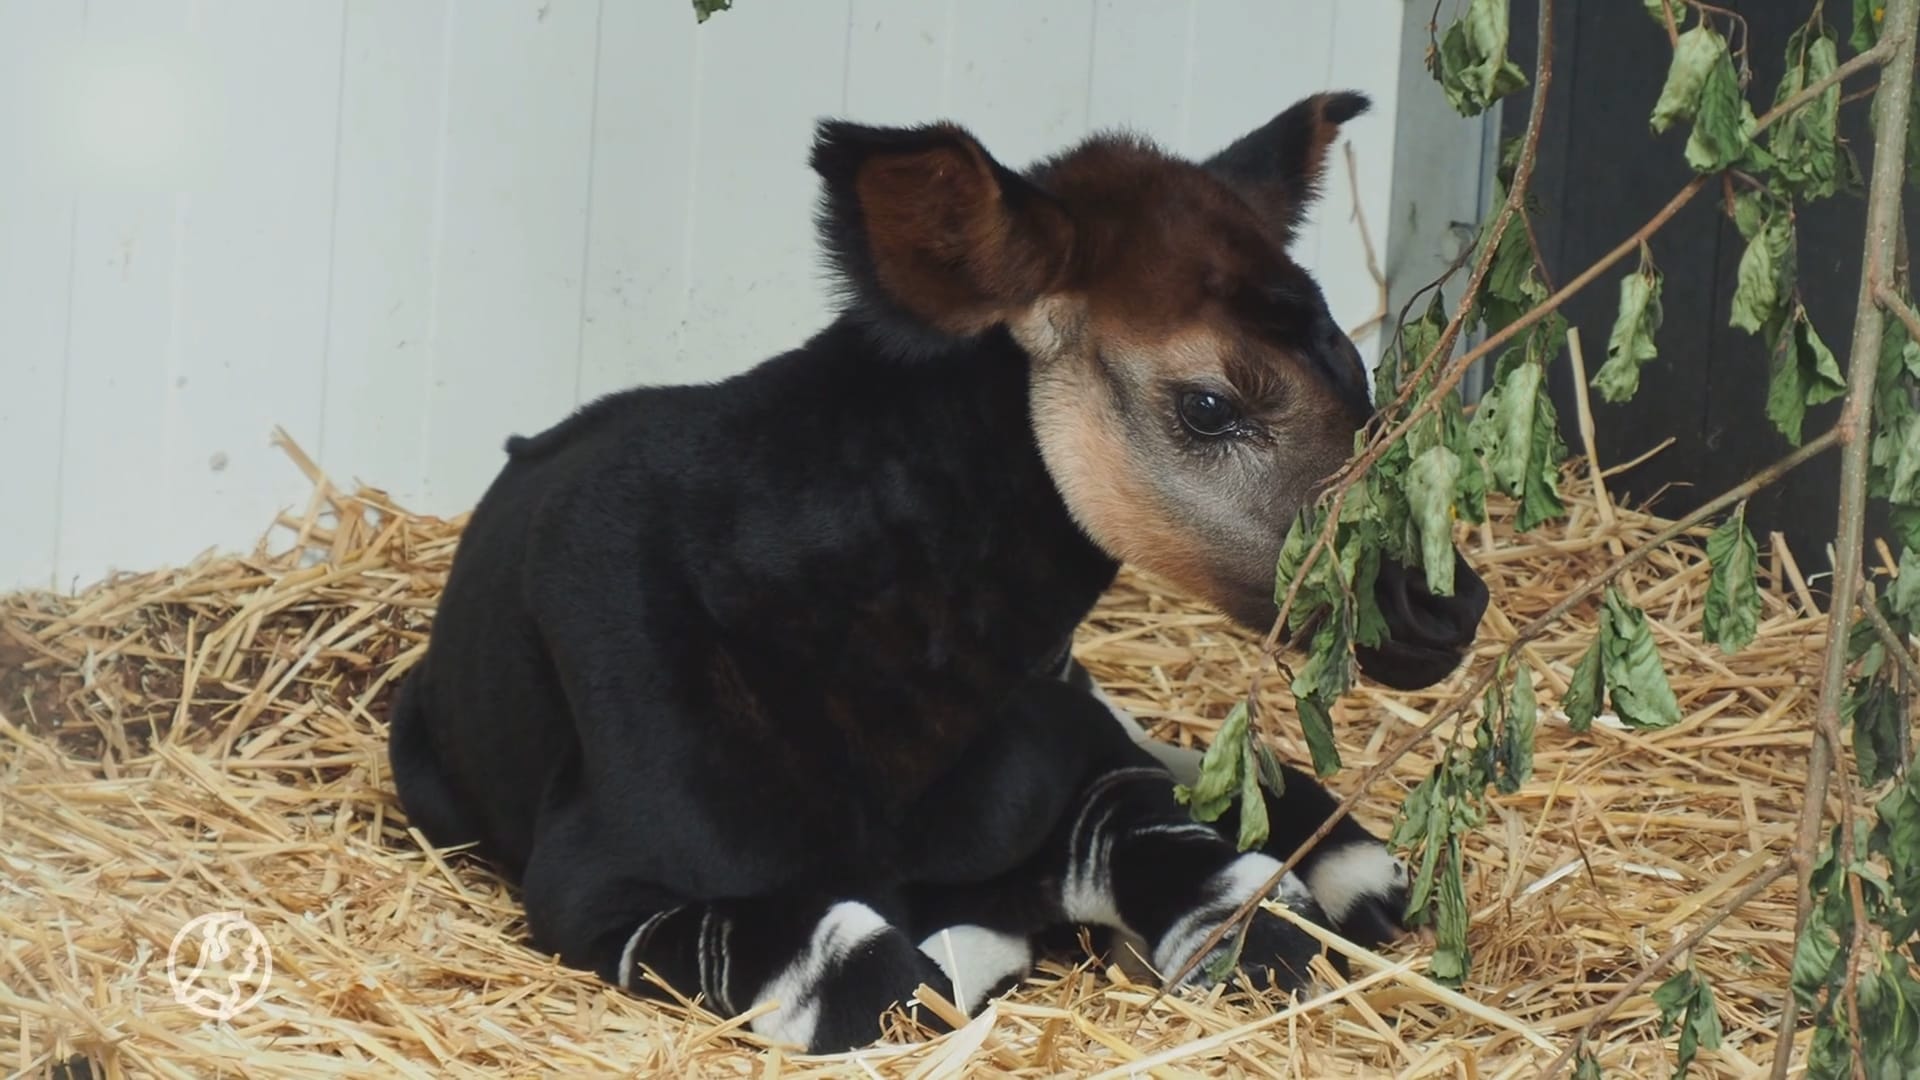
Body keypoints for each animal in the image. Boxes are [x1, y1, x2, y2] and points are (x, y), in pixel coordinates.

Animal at [389, 92, 1489, 1053]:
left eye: (1355, 366)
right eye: (1210, 405)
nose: (1447, 602)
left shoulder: (1086, 767)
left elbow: (1243, 904)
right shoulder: (600, 888)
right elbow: (881, 975)